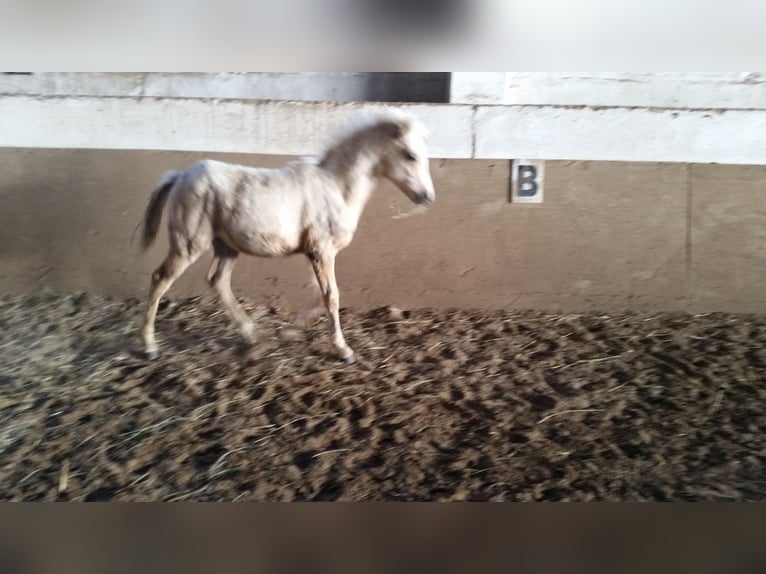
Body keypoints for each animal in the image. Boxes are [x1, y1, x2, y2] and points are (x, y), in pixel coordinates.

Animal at [137, 109, 436, 364]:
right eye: (411, 156)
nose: (427, 197)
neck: (336, 188)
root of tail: (180, 176)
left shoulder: (317, 253)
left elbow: (318, 295)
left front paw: (289, 332)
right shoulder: (321, 251)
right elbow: (331, 296)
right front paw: (344, 351)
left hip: (226, 246)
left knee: (217, 280)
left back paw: (252, 335)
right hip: (189, 244)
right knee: (160, 278)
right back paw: (150, 347)